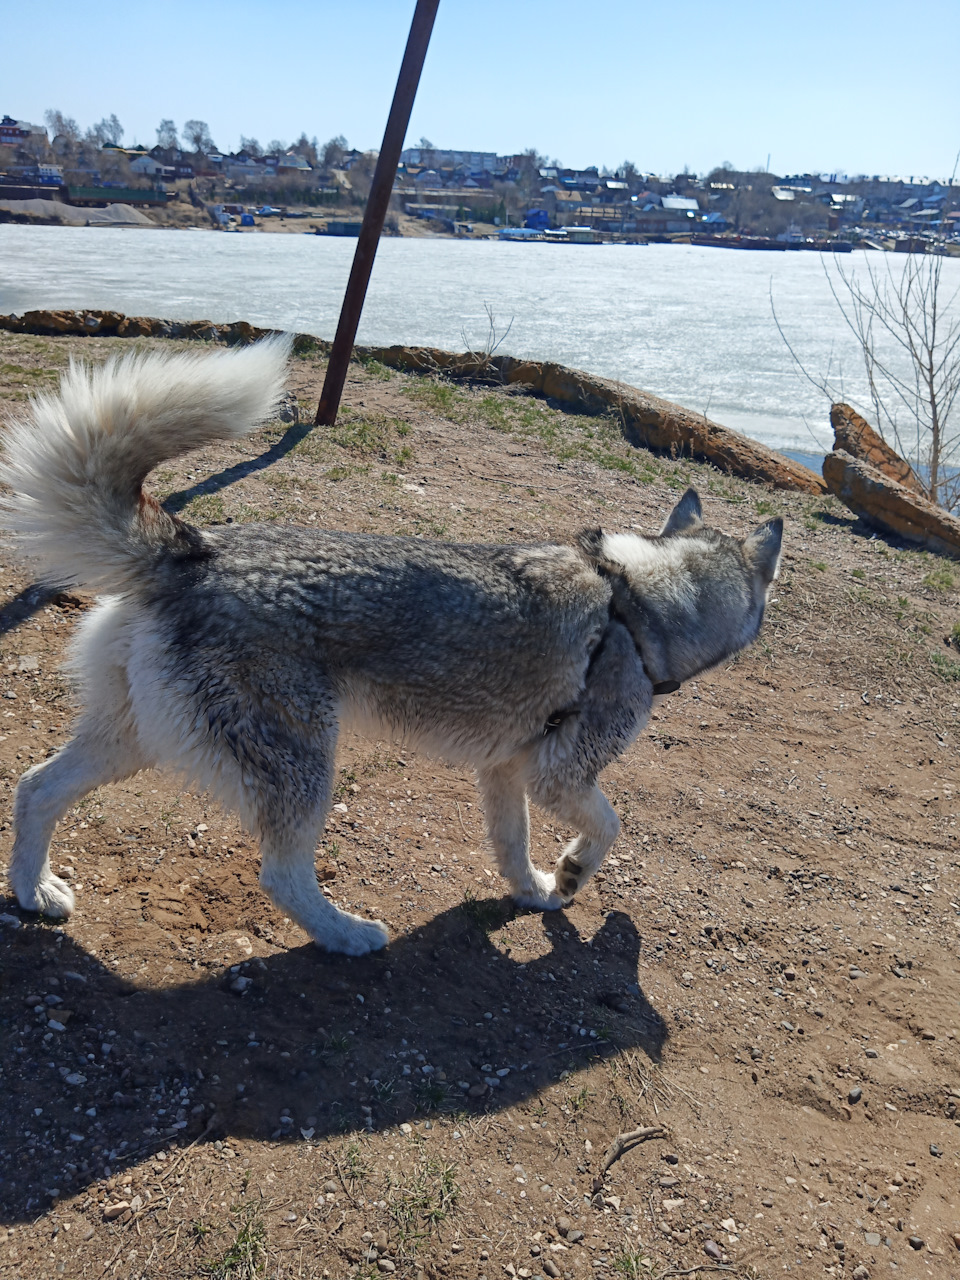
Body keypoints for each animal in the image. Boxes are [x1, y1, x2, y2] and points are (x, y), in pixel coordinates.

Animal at [0, 335, 783, 957]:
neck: (639, 599)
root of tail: (192, 552)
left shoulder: (506, 773)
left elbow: (513, 848)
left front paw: (534, 891)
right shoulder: (560, 775)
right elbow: (610, 827)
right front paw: (571, 873)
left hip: (132, 739)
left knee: (35, 787)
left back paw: (34, 892)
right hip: (300, 765)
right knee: (281, 873)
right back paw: (347, 936)